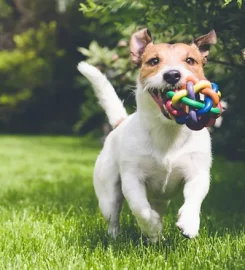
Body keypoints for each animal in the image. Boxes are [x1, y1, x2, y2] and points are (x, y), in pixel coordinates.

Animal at [78, 28, 216, 242]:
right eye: (154, 61)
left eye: (190, 60)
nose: (172, 75)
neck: (167, 130)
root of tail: (120, 123)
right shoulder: (132, 178)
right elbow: (140, 208)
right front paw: (152, 226)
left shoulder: (198, 173)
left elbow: (194, 198)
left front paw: (189, 223)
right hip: (107, 192)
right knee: (113, 215)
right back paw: (119, 236)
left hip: (161, 199)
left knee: (157, 207)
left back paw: (155, 240)